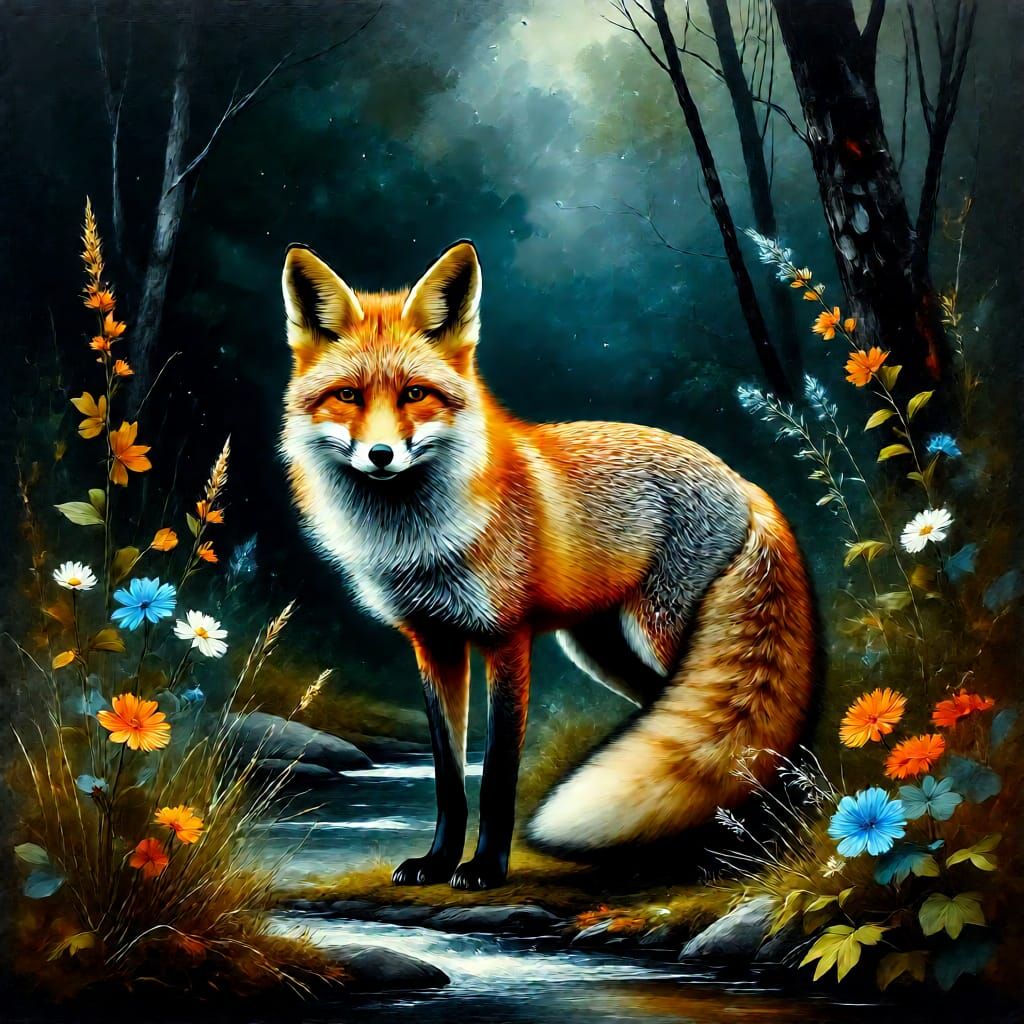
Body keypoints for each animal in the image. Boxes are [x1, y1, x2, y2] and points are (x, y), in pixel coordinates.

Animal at [279, 239, 816, 891]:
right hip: (603, 651)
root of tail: (741, 480)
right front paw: (437, 862)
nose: (381, 455)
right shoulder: (433, 642)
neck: (419, 542)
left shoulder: (507, 638)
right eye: (348, 396)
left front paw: (485, 867)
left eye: (414, 394)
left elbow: (497, 776)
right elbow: (449, 779)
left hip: (660, 638)